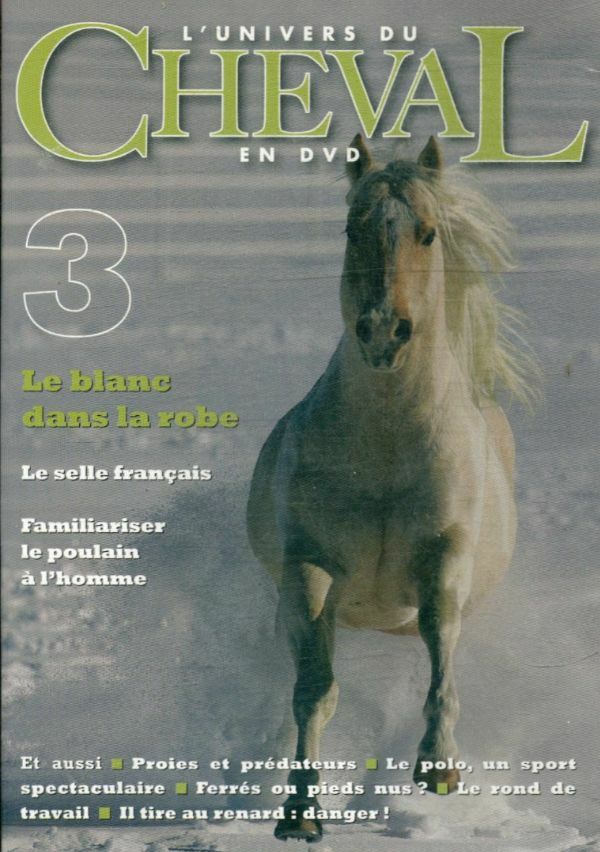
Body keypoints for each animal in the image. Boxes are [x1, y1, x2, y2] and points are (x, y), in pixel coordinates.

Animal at [247, 135, 535, 843]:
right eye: (353, 230)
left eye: (427, 233)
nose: (383, 330)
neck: (382, 450)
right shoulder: (310, 567)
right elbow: (315, 691)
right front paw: (300, 812)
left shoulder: (445, 558)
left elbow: (440, 657)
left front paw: (438, 768)